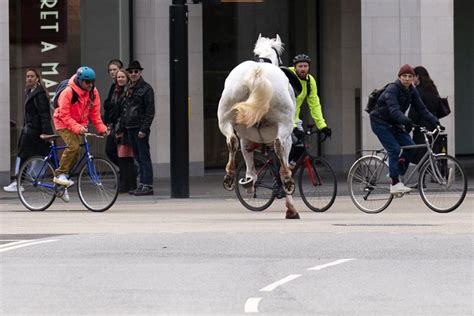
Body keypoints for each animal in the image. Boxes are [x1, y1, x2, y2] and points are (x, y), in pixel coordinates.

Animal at [216, 34, 298, 217]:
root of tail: (257, 71)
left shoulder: (246, 137)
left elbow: (247, 154)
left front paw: (249, 180)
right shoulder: (288, 140)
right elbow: (282, 159)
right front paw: (291, 207)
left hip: (225, 116)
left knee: (232, 141)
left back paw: (231, 176)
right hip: (284, 124)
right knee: (279, 145)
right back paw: (287, 180)